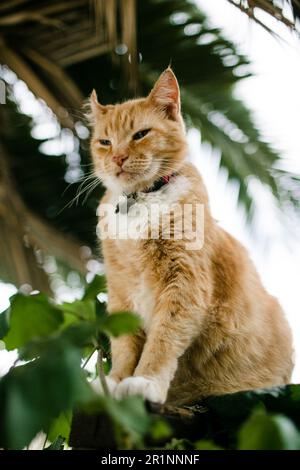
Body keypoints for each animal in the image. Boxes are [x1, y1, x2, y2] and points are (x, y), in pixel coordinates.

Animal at [89, 68, 292, 406]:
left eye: (140, 134)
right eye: (105, 141)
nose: (117, 157)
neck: (141, 198)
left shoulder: (183, 285)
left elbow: (162, 340)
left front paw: (145, 380)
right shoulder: (121, 290)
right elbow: (124, 346)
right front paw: (115, 382)